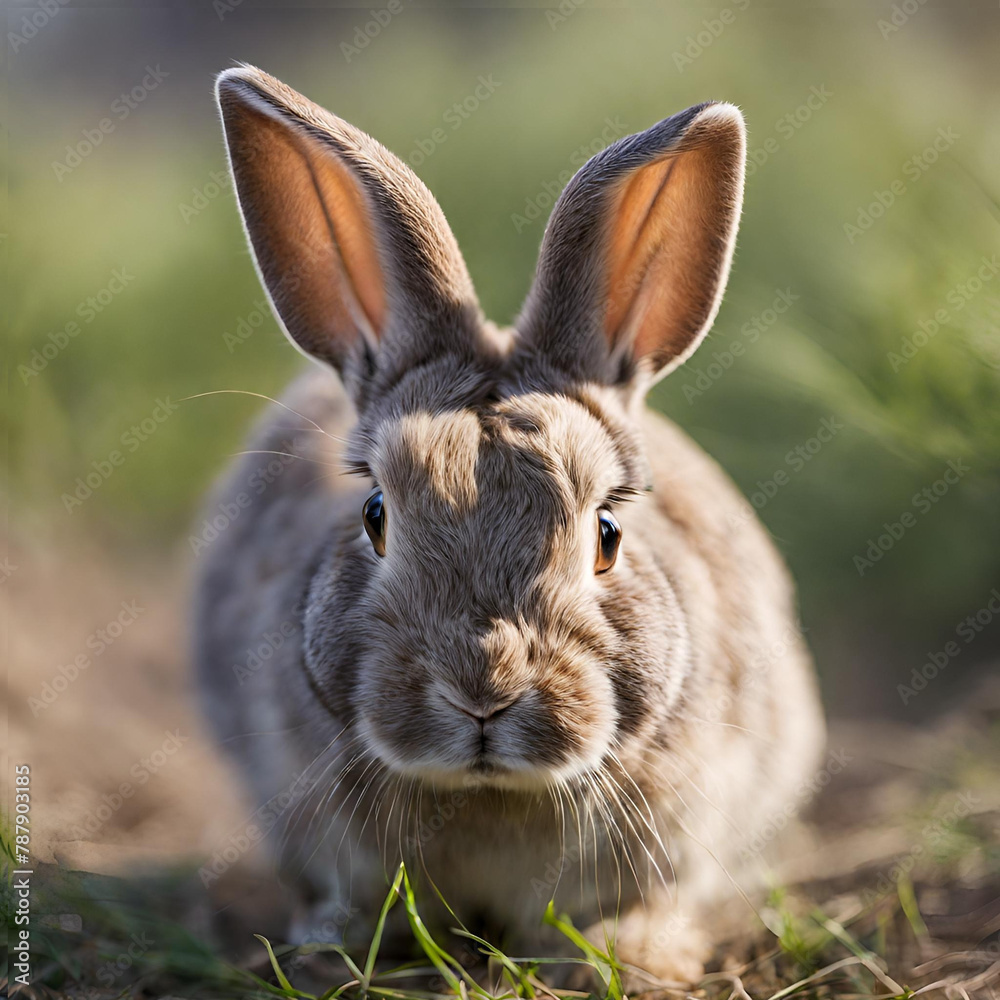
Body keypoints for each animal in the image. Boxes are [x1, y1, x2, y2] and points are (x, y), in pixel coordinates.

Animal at [195, 64, 826, 988]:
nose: (483, 691)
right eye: (376, 517)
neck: (489, 794)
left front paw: (627, 959)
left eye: (607, 534)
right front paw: (336, 949)